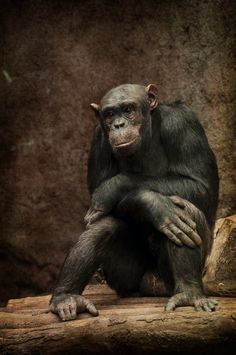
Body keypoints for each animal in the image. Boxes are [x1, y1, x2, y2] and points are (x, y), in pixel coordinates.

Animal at [49, 84, 219, 322]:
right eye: (110, 114)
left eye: (128, 109)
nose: (119, 125)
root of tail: (150, 283)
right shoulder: (99, 138)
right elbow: (100, 205)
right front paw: (154, 204)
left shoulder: (183, 123)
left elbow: (201, 185)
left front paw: (114, 188)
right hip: (125, 279)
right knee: (106, 225)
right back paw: (66, 297)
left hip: (166, 280)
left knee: (185, 209)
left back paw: (189, 293)